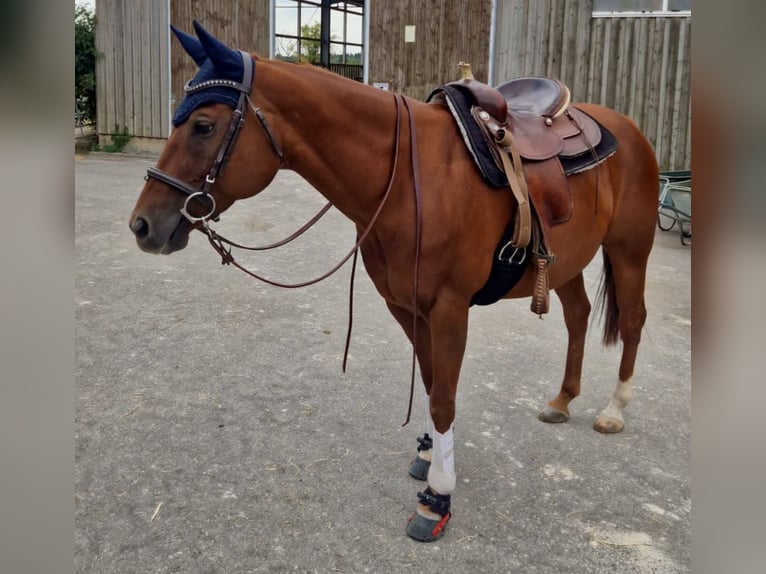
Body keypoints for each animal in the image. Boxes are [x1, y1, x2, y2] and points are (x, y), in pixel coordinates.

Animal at [129, 21, 658, 542]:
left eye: (203, 126)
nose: (142, 225)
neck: (408, 179)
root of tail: (629, 128)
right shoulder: (405, 306)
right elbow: (429, 382)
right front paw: (428, 454)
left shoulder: (449, 309)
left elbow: (443, 399)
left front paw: (438, 497)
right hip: (567, 262)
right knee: (578, 316)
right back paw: (563, 400)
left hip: (629, 250)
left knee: (633, 321)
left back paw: (614, 409)